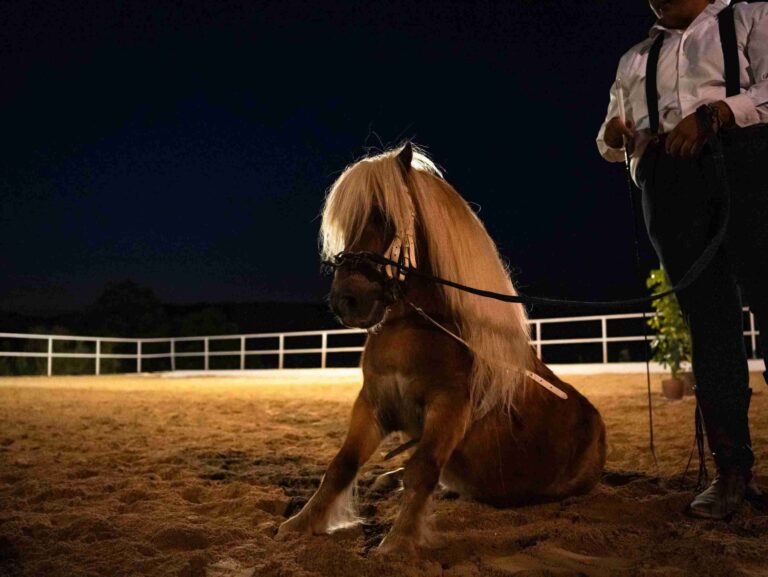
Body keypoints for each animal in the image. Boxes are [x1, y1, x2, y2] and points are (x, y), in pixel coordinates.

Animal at [277, 143, 606, 555]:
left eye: (386, 217)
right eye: (349, 224)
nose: (347, 301)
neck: (411, 330)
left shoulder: (448, 408)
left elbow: (422, 469)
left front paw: (399, 542)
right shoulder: (371, 404)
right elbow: (342, 464)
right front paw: (301, 523)